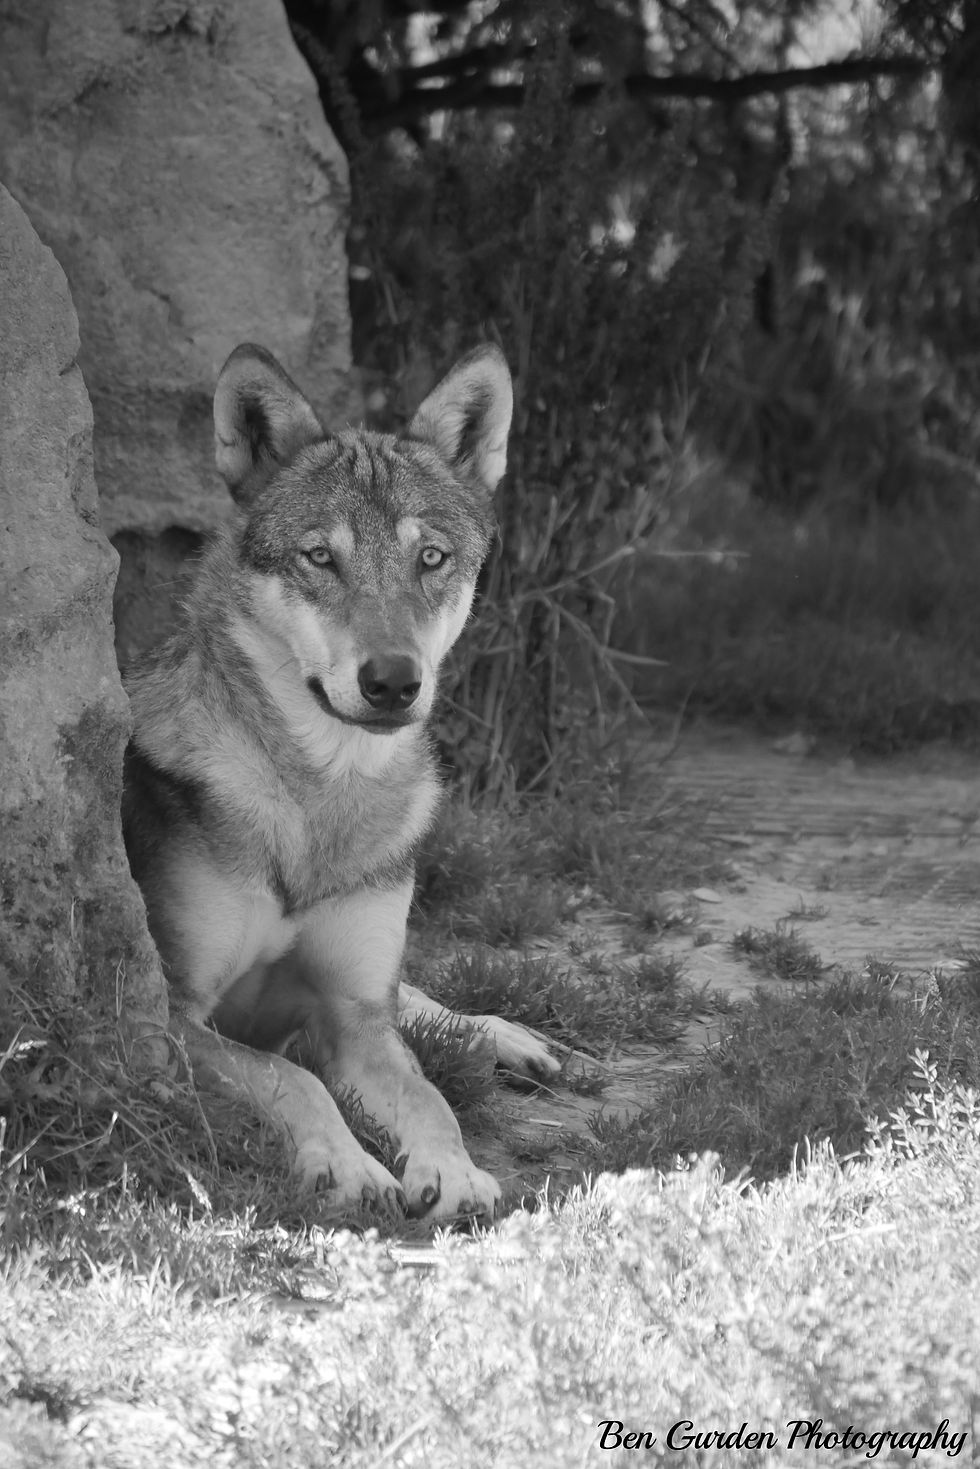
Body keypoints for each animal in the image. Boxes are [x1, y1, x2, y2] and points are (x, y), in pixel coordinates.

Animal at [122, 342, 559, 1223]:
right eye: (320, 557)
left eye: (431, 559)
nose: (392, 680)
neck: (322, 795)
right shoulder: (176, 1017)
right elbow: (292, 1077)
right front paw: (351, 1166)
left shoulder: (353, 1016)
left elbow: (430, 1097)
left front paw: (454, 1172)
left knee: (419, 1002)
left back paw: (508, 1035)